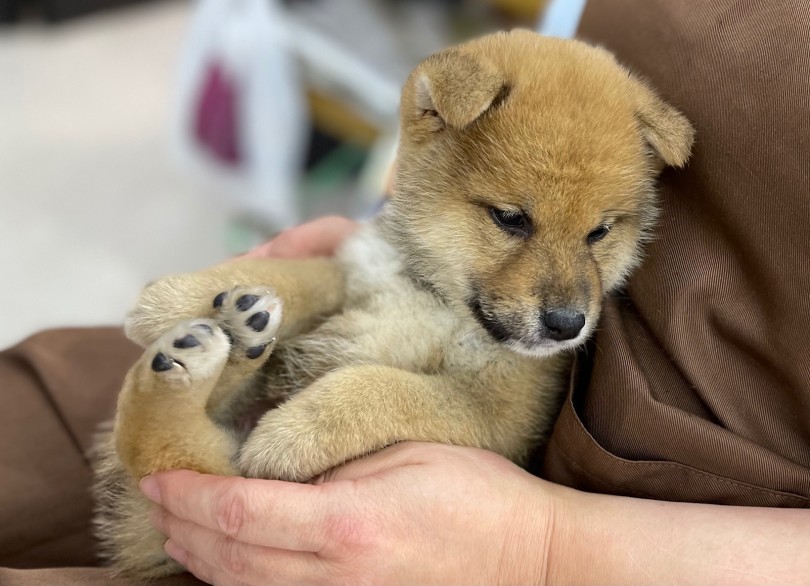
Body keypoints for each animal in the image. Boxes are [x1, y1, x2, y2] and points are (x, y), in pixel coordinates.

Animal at [91, 30, 692, 576]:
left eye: (600, 232)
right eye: (510, 218)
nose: (568, 325)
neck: (431, 294)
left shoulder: (499, 417)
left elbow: (378, 387)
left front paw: (292, 434)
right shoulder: (353, 270)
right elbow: (298, 275)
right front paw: (176, 295)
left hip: (203, 478)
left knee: (173, 454)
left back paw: (195, 359)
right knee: (154, 447)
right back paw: (227, 332)